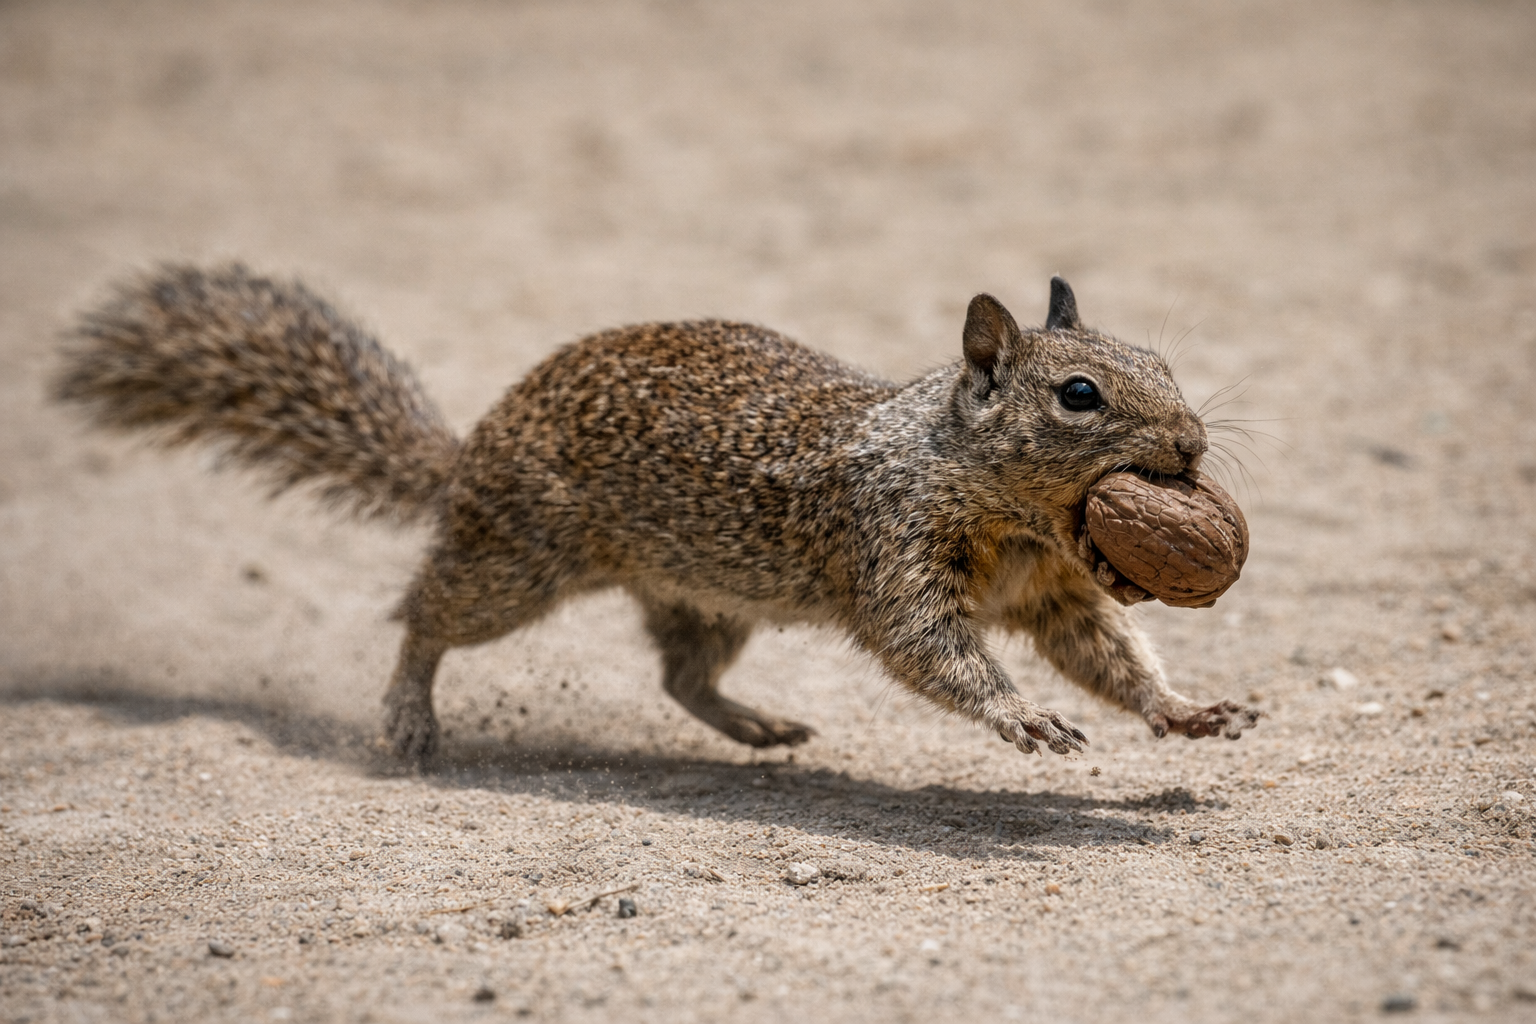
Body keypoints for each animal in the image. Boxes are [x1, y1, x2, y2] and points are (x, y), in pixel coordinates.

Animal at [56, 264, 1261, 761]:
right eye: (1079, 395)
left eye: (1162, 361)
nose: (1194, 446)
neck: (1010, 509)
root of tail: (467, 452)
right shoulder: (895, 547)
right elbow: (932, 650)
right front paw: (1022, 718)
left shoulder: (1055, 595)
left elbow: (1108, 654)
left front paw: (1185, 712)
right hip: (516, 561)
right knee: (424, 616)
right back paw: (408, 716)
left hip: (705, 596)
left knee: (682, 678)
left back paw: (757, 724)